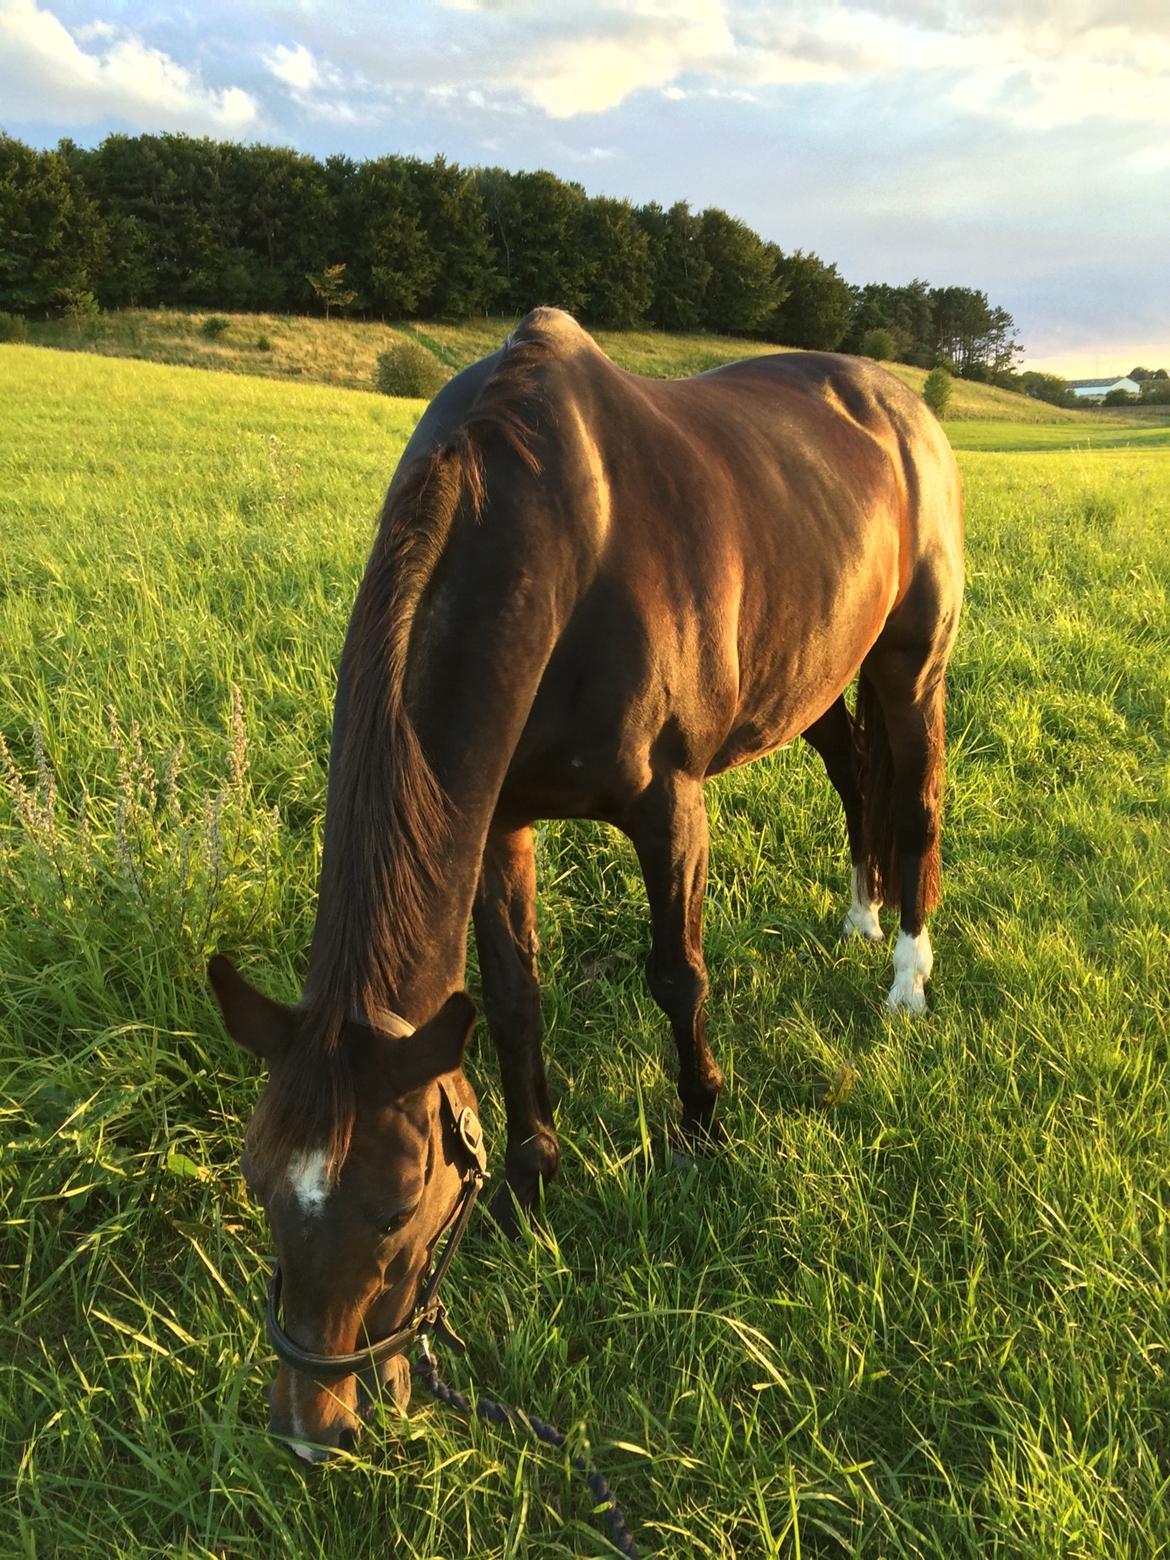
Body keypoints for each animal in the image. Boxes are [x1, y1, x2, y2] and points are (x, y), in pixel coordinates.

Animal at [209, 307, 960, 1460]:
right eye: (256, 1179)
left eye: (399, 1202)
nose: (308, 1426)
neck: (558, 543)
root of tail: (899, 401)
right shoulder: (497, 821)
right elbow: (514, 999)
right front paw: (533, 1176)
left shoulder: (668, 805)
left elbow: (677, 975)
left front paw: (698, 1130)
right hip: (821, 673)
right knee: (854, 776)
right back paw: (859, 916)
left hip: (912, 660)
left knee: (912, 799)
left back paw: (908, 978)